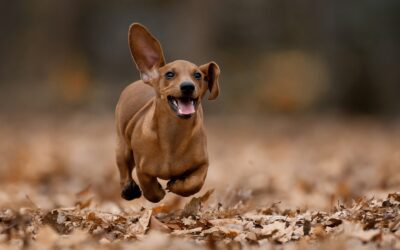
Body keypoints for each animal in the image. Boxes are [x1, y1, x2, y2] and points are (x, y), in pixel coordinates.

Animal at [115, 23, 220, 202]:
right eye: (169, 74)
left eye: (198, 75)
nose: (188, 86)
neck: (173, 134)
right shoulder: (143, 168)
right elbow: (150, 190)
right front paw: (157, 190)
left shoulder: (202, 164)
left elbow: (194, 184)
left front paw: (177, 184)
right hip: (122, 147)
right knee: (123, 170)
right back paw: (128, 189)